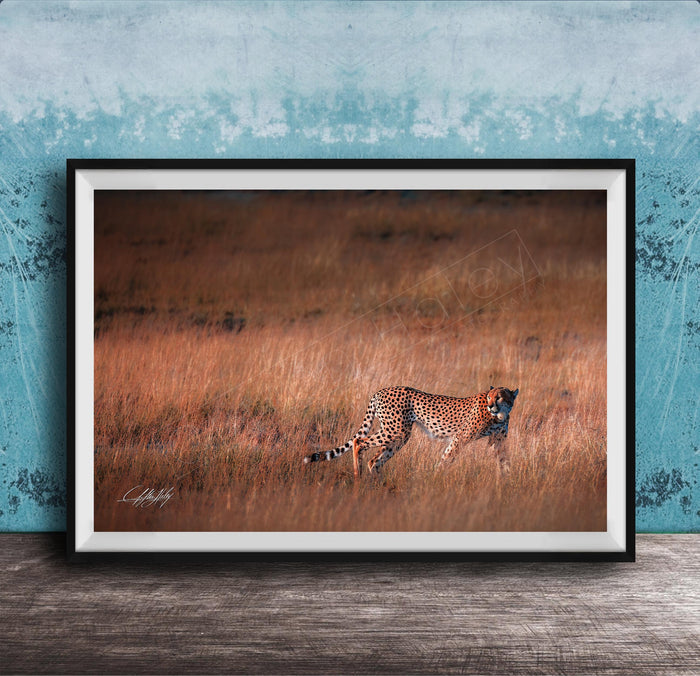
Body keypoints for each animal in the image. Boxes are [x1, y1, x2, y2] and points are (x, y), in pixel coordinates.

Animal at [303, 385, 519, 478]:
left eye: (499, 397)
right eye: (489, 397)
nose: (491, 405)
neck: (499, 415)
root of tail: (380, 390)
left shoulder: (498, 441)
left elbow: (505, 462)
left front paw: (509, 483)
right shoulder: (460, 438)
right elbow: (446, 458)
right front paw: (436, 479)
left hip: (397, 435)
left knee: (375, 460)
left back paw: (377, 486)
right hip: (396, 431)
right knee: (359, 442)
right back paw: (358, 476)